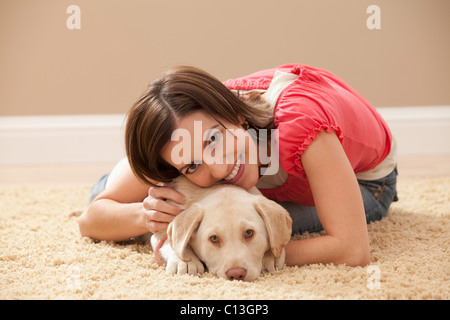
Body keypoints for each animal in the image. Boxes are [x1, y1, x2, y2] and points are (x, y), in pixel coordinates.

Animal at [149, 176, 294, 282]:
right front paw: (186, 261)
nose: (236, 274)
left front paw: (271, 255)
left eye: (249, 233)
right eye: (214, 238)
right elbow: (171, 242)